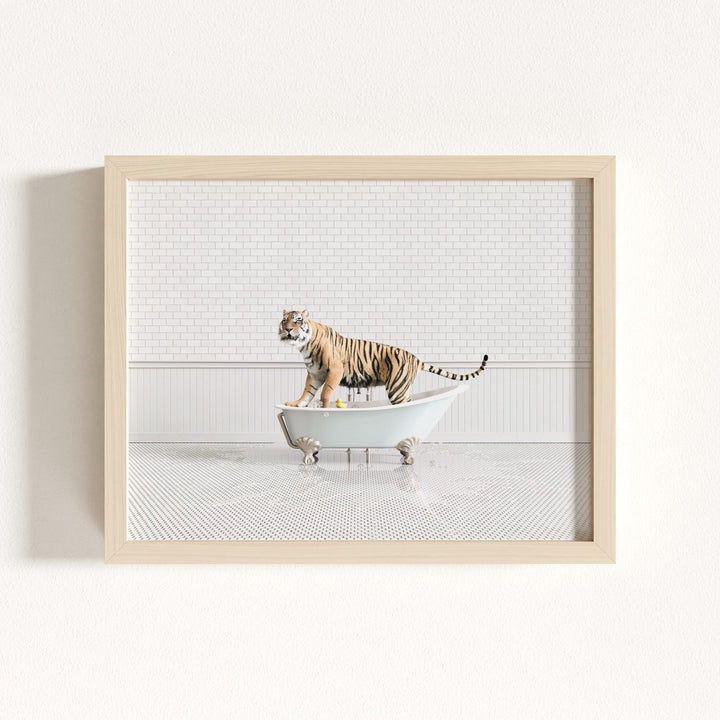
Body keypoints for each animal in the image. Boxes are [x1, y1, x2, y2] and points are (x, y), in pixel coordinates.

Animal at [279, 309, 488, 408]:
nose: (288, 329)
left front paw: (323, 407)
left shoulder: (335, 370)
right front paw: (296, 404)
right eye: (284, 320)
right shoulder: (315, 373)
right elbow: (307, 392)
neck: (304, 345)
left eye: (297, 320)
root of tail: (415, 358)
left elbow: (324, 393)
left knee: (408, 404)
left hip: (397, 388)